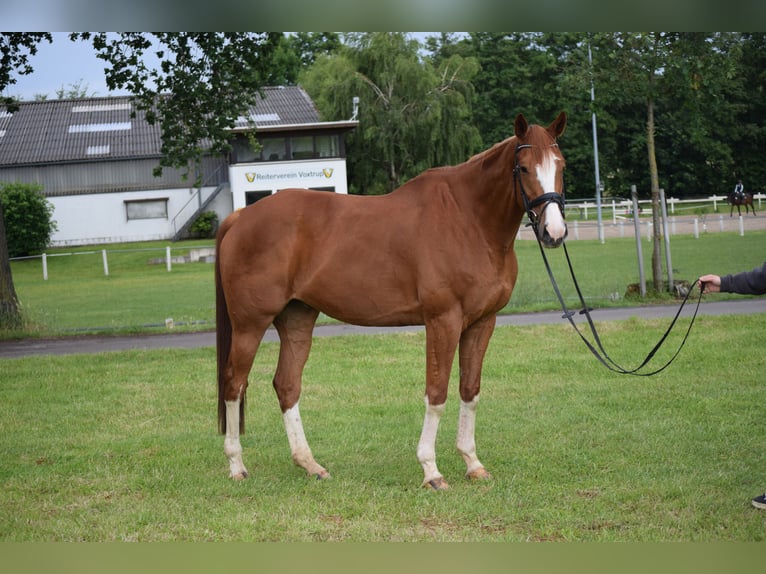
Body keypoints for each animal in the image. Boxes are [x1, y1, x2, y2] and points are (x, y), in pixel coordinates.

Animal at [215, 112, 568, 490]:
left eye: (560, 164)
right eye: (524, 167)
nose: (554, 232)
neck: (468, 219)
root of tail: (241, 217)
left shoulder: (482, 322)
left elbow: (469, 390)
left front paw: (473, 463)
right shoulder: (443, 320)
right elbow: (437, 392)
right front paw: (431, 470)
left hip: (297, 318)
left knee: (286, 384)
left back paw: (310, 464)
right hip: (250, 324)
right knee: (234, 383)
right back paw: (236, 465)